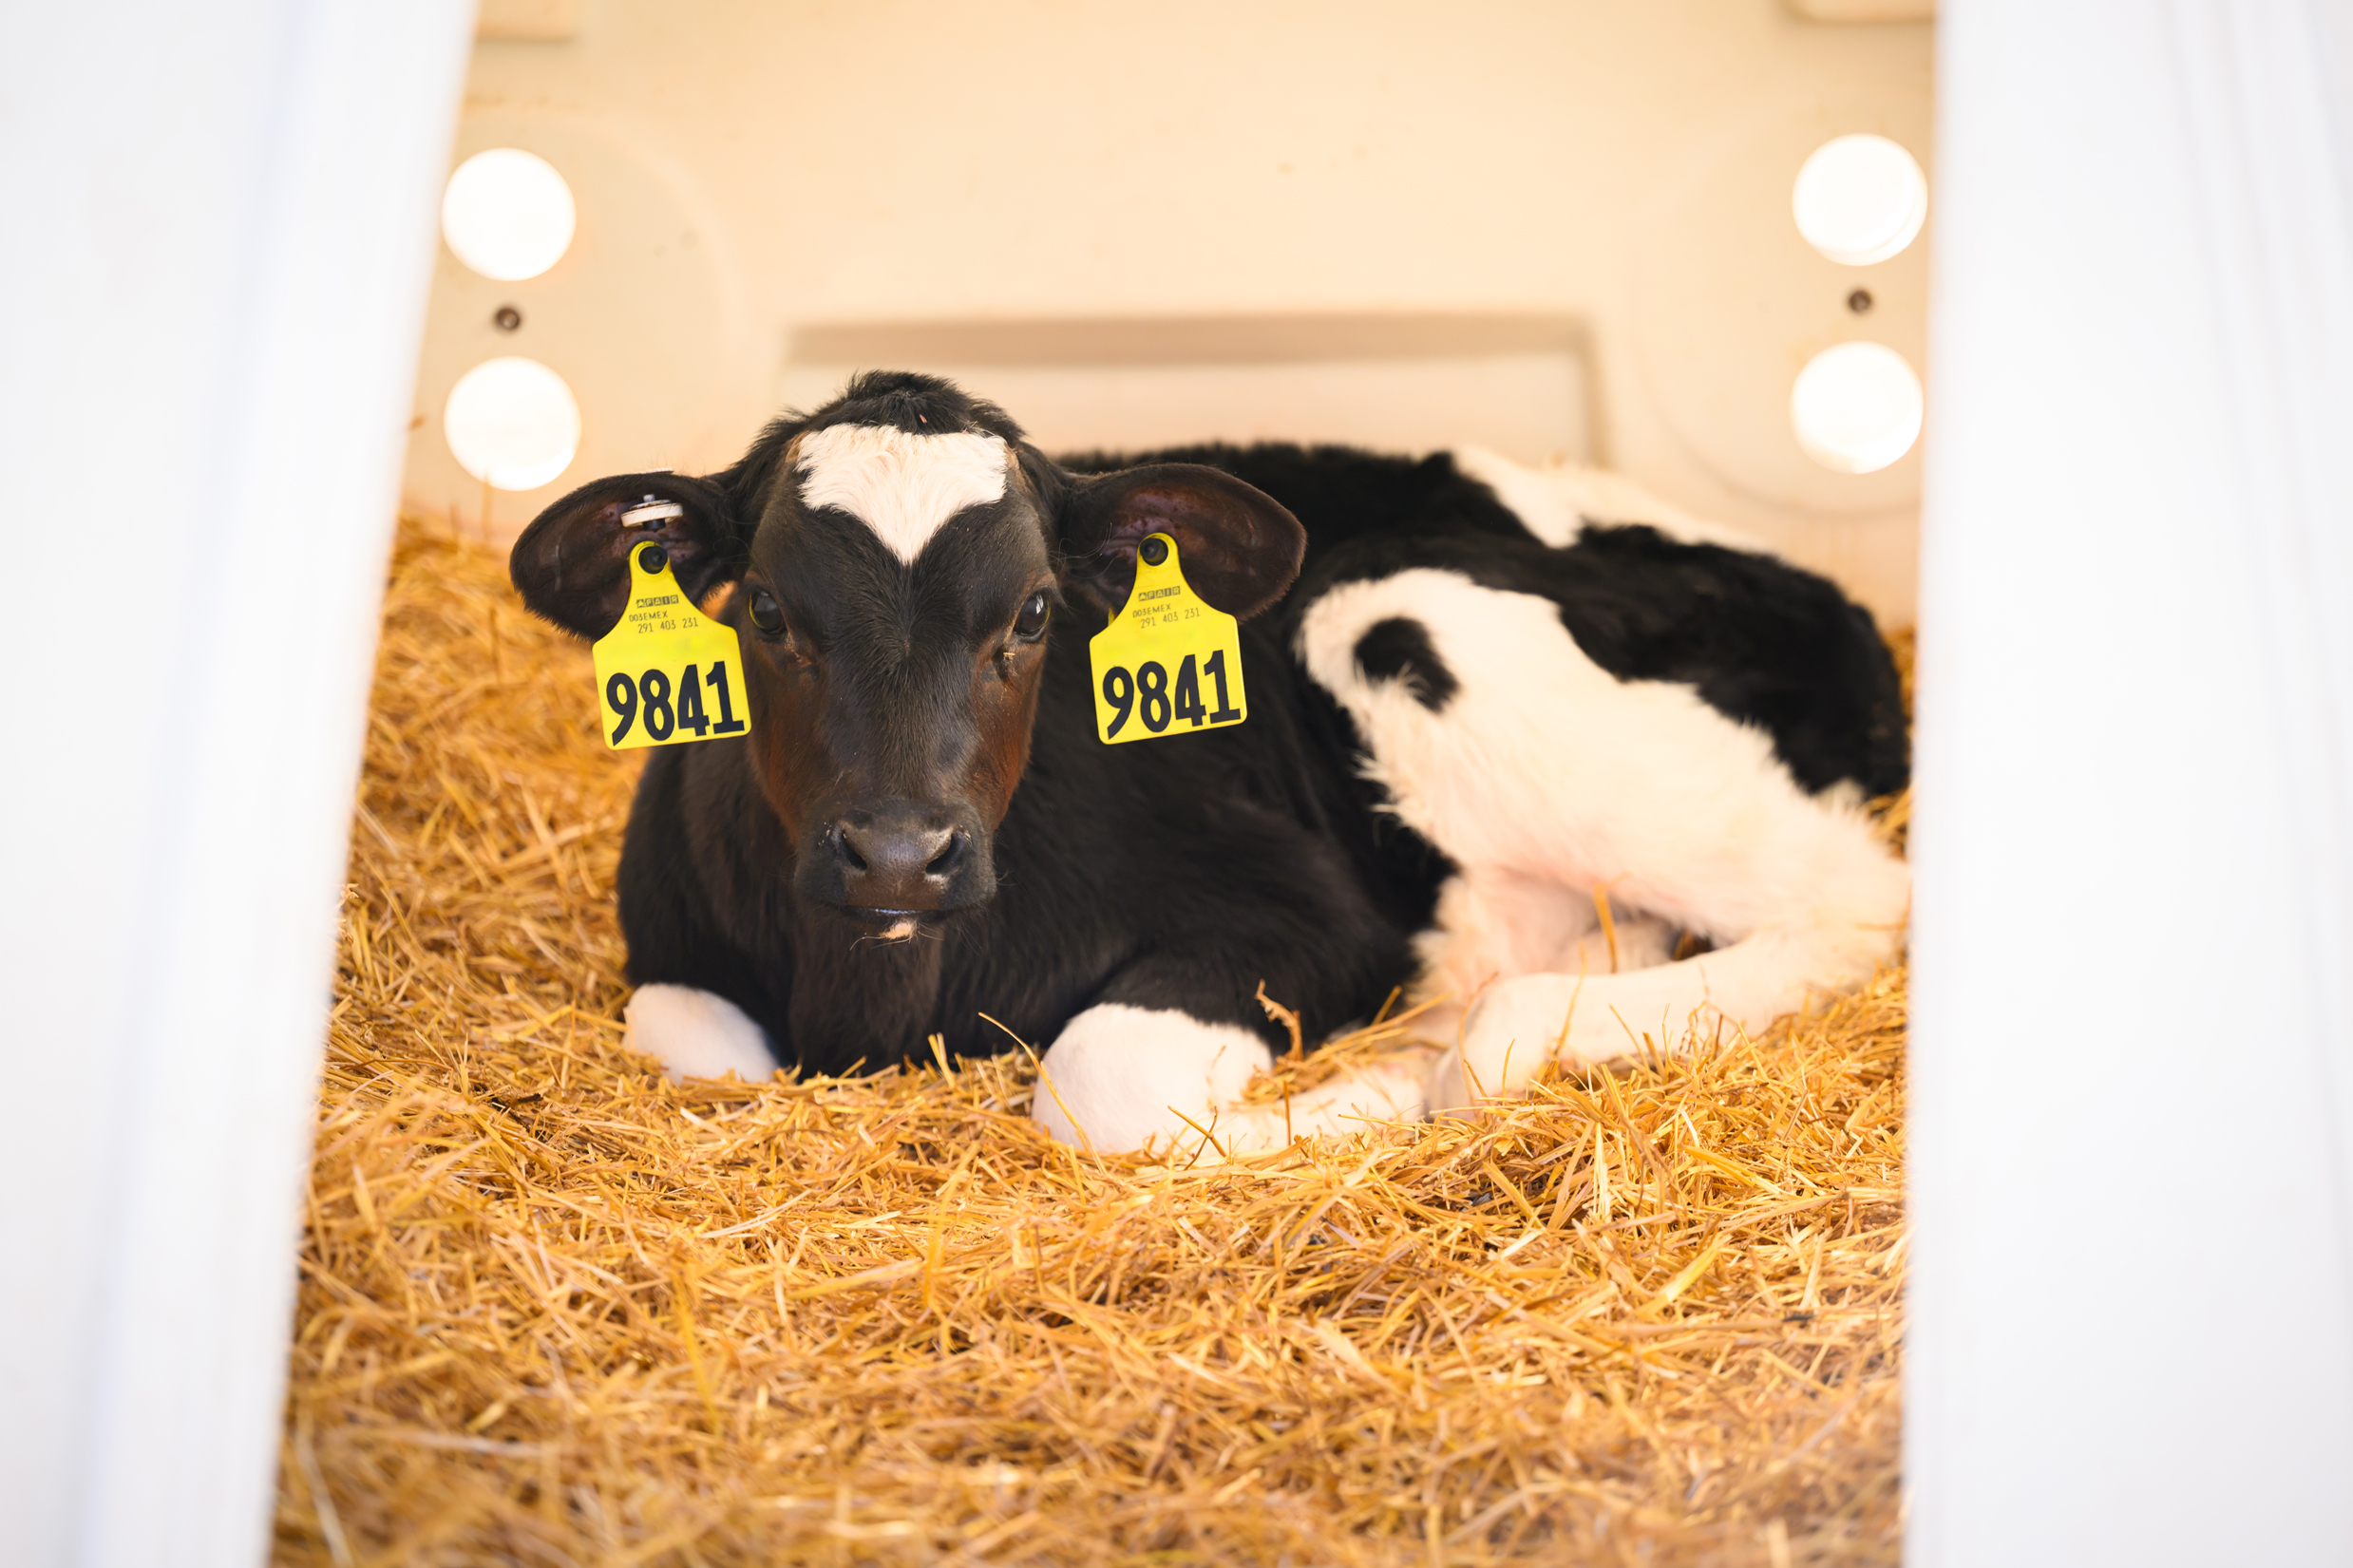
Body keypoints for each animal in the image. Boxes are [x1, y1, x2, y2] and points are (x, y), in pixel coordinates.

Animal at [507, 371, 1909, 1160]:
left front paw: (1376, 1092)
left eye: (1032, 612)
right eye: (763, 609)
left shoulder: (1308, 916)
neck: (880, 996)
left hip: (1385, 607)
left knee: (1853, 901)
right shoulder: (671, 942)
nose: (900, 852)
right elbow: (694, 1045)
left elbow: (1099, 1083)